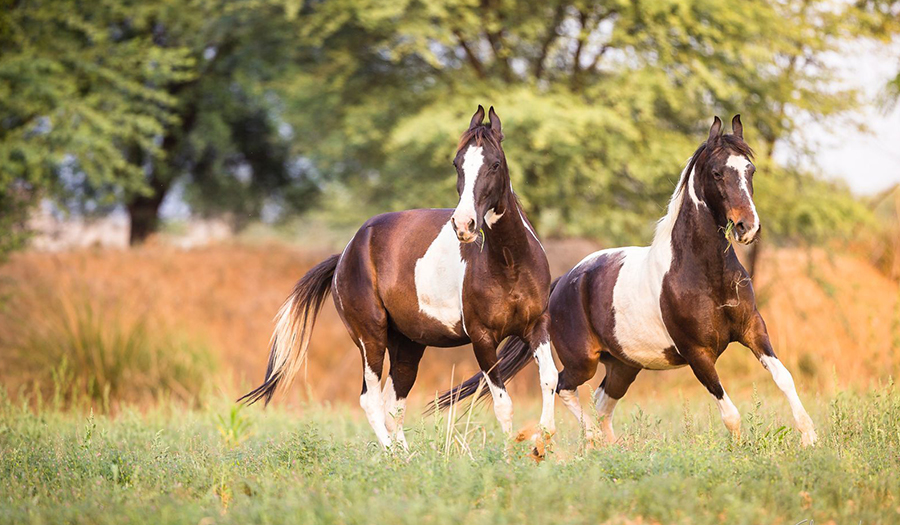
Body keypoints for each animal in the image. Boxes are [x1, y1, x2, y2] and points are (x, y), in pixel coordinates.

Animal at [243, 105, 560, 446]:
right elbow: (503, 403)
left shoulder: (537, 326)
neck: (509, 264)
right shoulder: (482, 338)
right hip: (371, 338)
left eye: (495, 164)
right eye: (457, 164)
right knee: (371, 400)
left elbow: (549, 379)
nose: (464, 225)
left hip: (408, 345)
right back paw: (395, 455)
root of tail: (346, 254)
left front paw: (543, 444)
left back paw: (408, 455)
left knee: (393, 405)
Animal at [440, 114, 820, 446]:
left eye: (749, 169)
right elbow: (729, 411)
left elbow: (784, 378)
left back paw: (611, 447)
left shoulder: (753, 330)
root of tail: (564, 281)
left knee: (601, 401)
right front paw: (741, 450)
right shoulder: (698, 354)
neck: (705, 273)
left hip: (624, 366)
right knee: (566, 388)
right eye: (716, 172)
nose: (747, 227)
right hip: (584, 361)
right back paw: (594, 442)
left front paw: (810, 439)